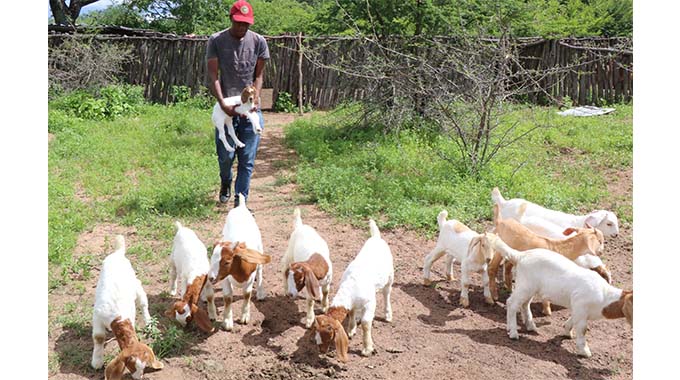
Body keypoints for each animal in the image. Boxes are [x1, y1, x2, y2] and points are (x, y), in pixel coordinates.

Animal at [91, 236, 164, 378]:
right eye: (131, 365)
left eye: (145, 366)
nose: (139, 378)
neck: (117, 318)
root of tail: (118, 253)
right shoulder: (97, 315)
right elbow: (99, 337)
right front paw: (97, 361)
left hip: (136, 285)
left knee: (143, 303)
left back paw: (149, 322)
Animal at [210, 193, 270, 330]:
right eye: (211, 260)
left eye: (227, 262)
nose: (211, 278)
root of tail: (241, 206)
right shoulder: (225, 278)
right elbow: (228, 297)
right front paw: (227, 322)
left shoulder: (250, 278)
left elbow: (247, 295)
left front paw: (245, 317)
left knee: (260, 271)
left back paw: (260, 293)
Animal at [314, 218, 394, 360]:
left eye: (328, 337)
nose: (321, 352)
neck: (350, 288)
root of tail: (376, 237)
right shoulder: (352, 304)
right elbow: (351, 313)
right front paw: (351, 329)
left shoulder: (370, 303)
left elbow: (366, 323)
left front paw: (367, 348)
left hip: (390, 276)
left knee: (387, 293)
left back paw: (388, 314)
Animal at [488, 233, 632, 358]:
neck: (605, 297)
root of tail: (521, 255)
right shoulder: (581, 307)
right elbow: (582, 330)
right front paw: (584, 352)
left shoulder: (578, 310)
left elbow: (571, 321)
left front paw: (567, 333)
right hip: (525, 285)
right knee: (512, 303)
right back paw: (513, 332)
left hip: (530, 287)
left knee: (524, 304)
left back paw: (530, 327)